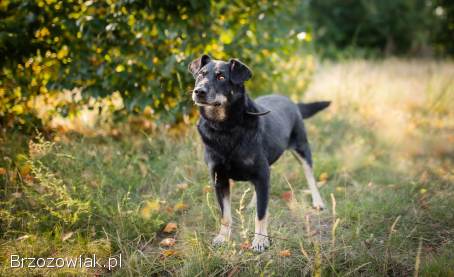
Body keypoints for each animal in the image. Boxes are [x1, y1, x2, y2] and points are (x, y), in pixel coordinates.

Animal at [188, 55, 330, 251]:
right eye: (201, 74)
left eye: (221, 77)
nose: (198, 91)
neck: (225, 128)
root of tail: (292, 101)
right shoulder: (219, 178)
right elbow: (225, 214)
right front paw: (223, 237)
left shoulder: (261, 173)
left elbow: (261, 214)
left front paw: (260, 240)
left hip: (302, 148)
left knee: (310, 176)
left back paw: (317, 202)